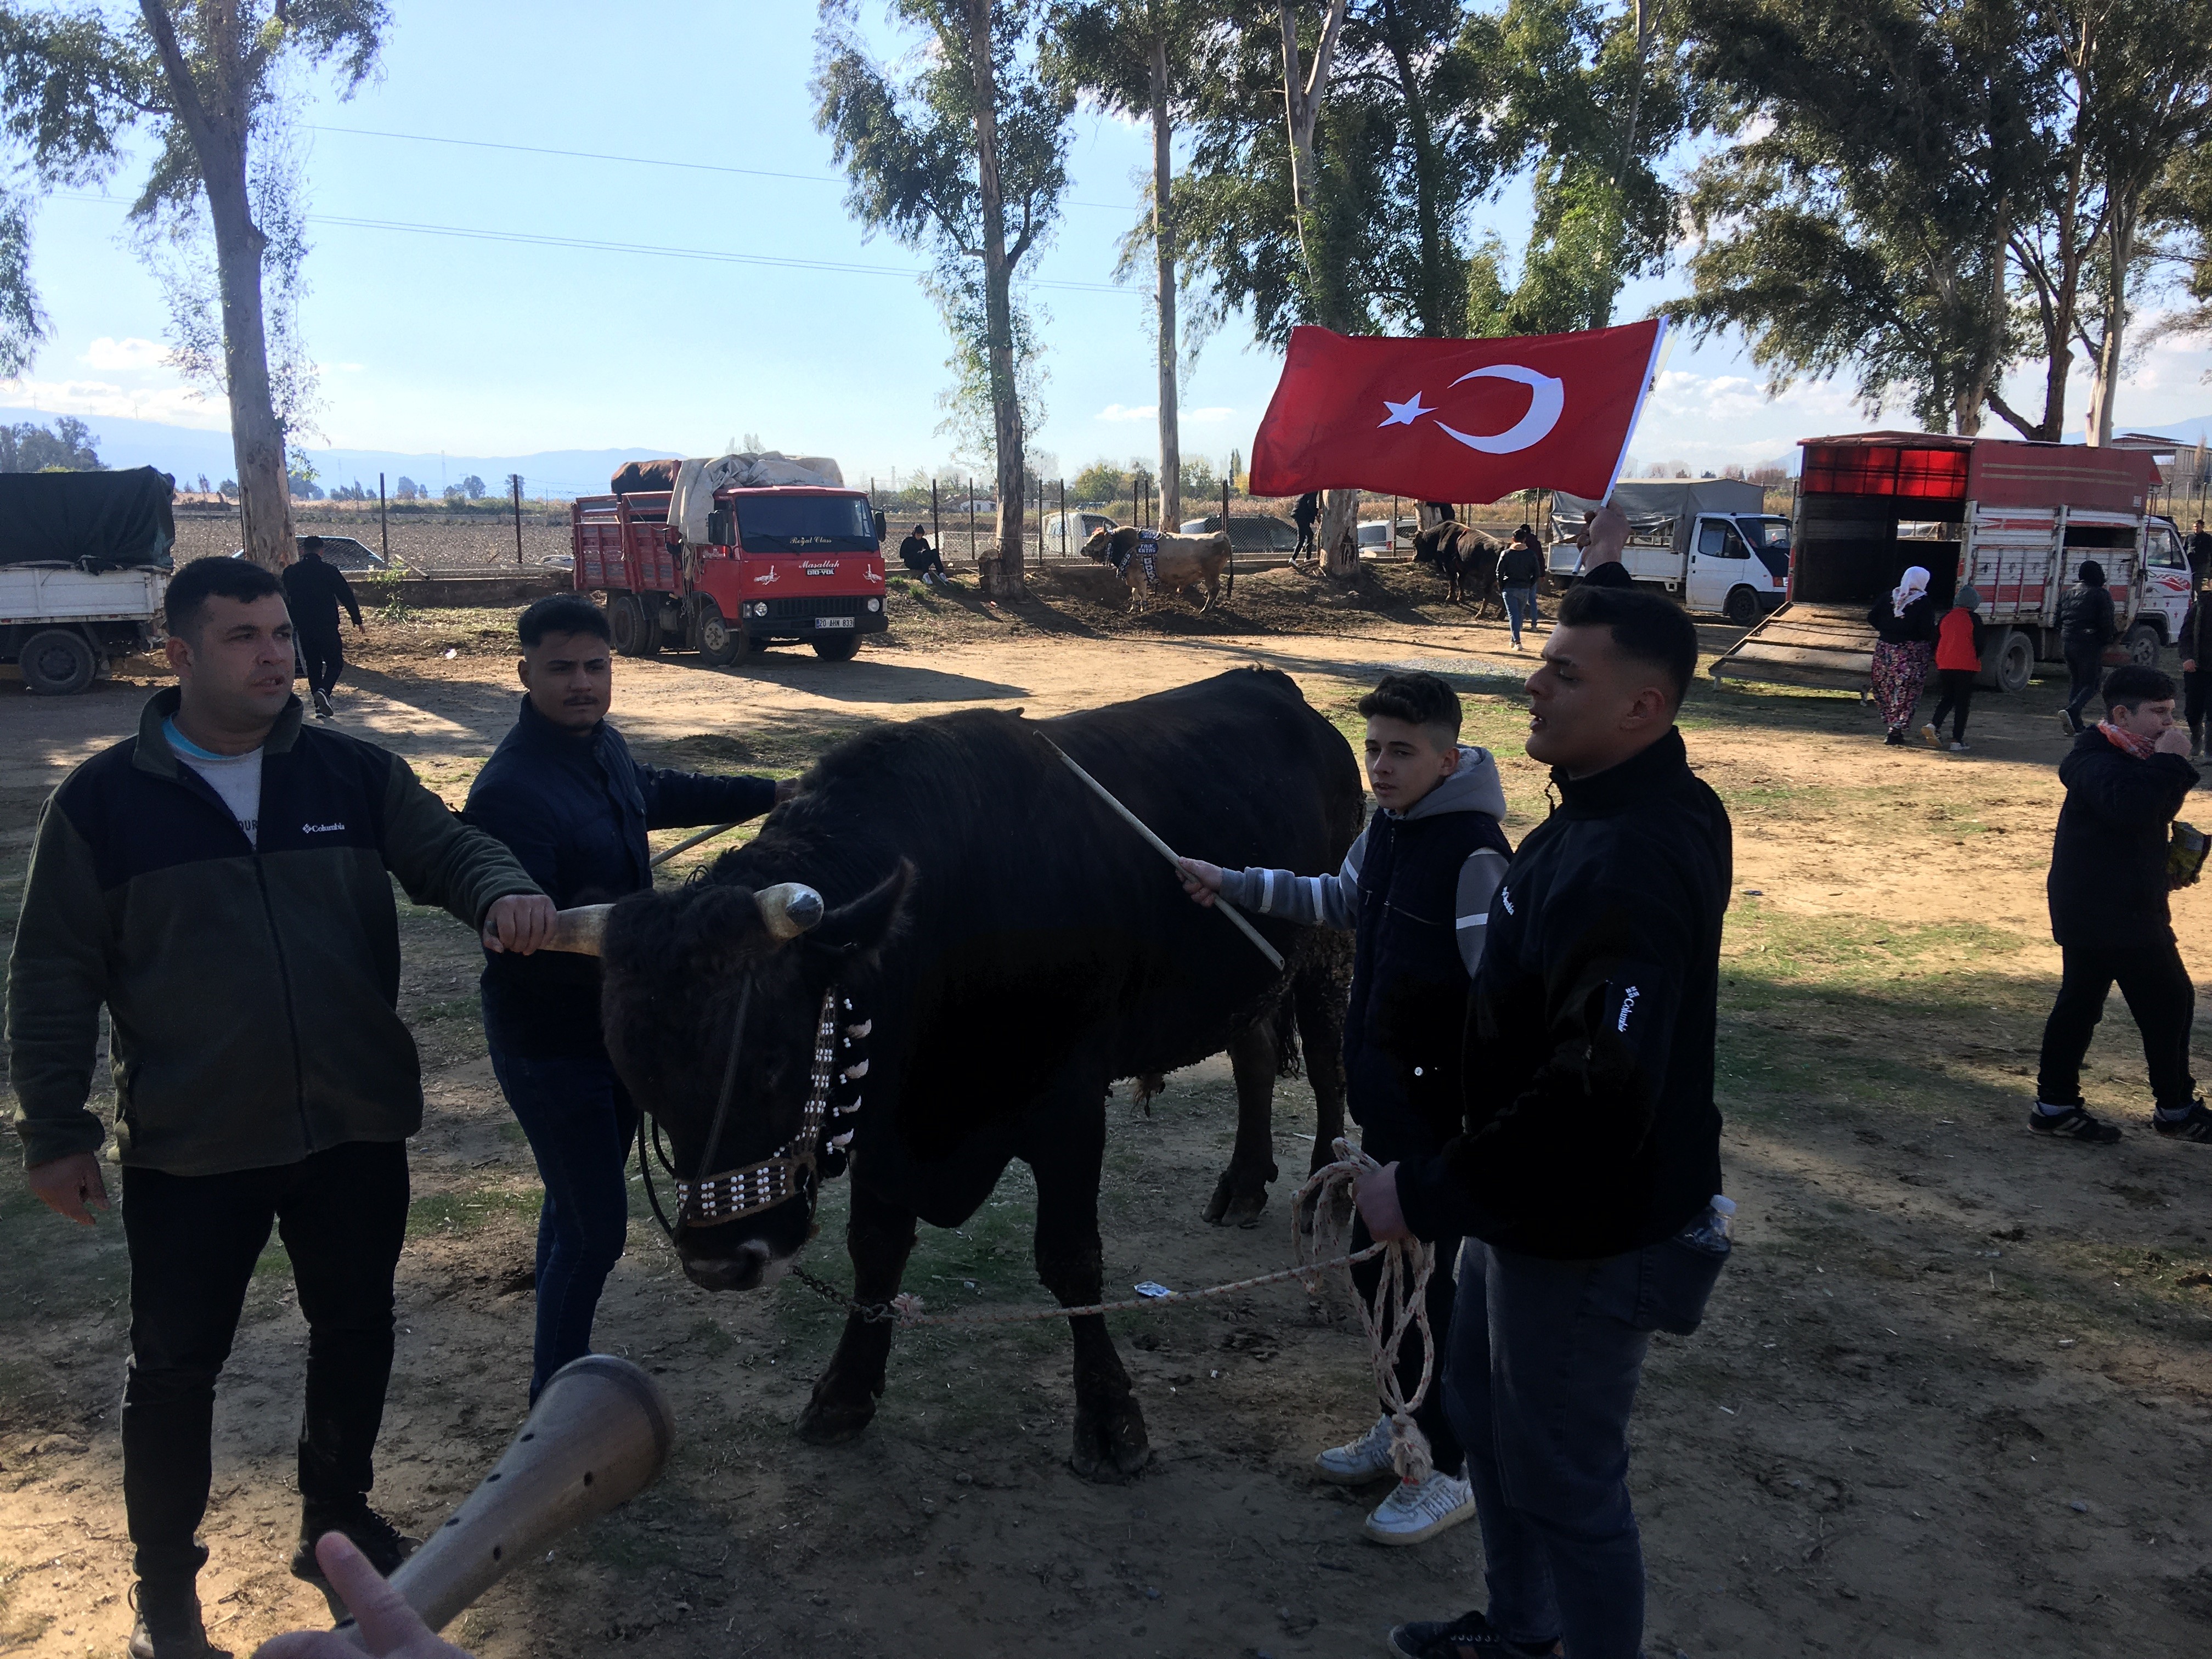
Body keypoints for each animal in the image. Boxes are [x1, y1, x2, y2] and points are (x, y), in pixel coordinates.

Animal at [606, 668, 1362, 1486]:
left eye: (775, 1060)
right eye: (638, 1080)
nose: (719, 1262)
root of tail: (1275, 687)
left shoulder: (1069, 1108)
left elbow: (1070, 1259)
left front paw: (1110, 1419)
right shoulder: (883, 1125)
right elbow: (875, 1251)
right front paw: (844, 1391)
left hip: (1328, 950)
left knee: (1328, 1071)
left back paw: (1323, 1197)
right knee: (1254, 1058)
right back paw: (1245, 1183)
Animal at [1079, 522, 1238, 614]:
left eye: (1096, 539)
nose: (1082, 550)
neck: (1127, 544)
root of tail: (1219, 535)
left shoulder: (1139, 577)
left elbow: (1141, 593)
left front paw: (1143, 608)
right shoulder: (1132, 577)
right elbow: (1134, 593)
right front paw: (1133, 609)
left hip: (1211, 574)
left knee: (1213, 590)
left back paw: (1205, 610)